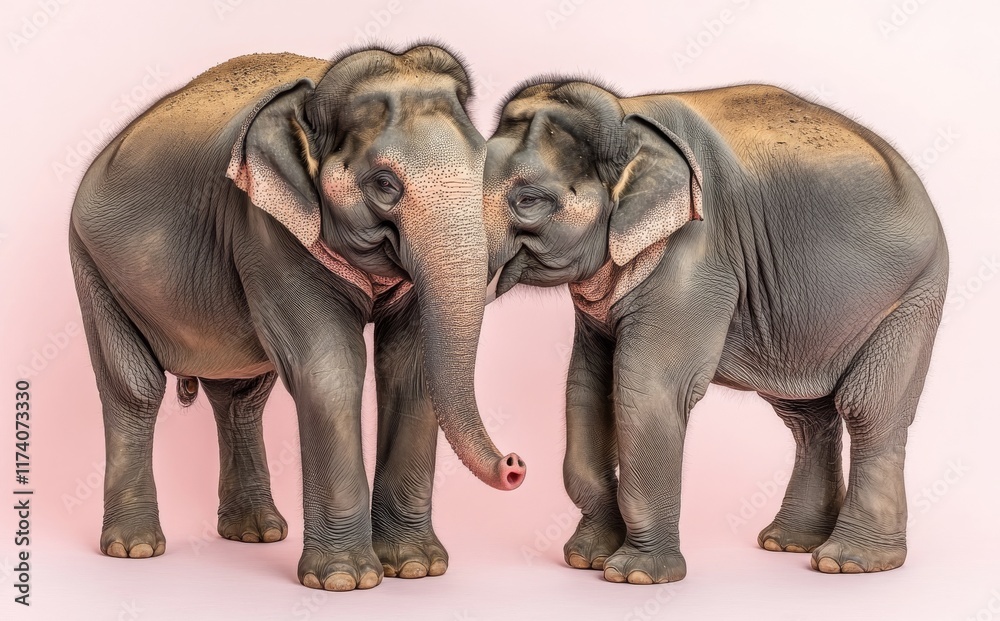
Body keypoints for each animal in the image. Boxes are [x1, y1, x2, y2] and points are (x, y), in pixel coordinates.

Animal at [68, 44, 526, 592]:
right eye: (385, 184)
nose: (515, 466)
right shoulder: (265, 226)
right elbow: (329, 366)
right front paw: (347, 581)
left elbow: (409, 369)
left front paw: (416, 568)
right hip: (92, 262)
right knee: (133, 388)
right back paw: (134, 548)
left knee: (240, 398)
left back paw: (256, 533)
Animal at [484, 79, 947, 584]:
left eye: (528, 200)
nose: (515, 465)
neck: (626, 116)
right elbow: (585, 388)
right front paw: (586, 559)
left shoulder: (697, 253)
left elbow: (647, 388)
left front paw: (635, 575)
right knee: (806, 414)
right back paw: (789, 543)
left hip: (914, 292)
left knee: (868, 408)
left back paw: (848, 561)